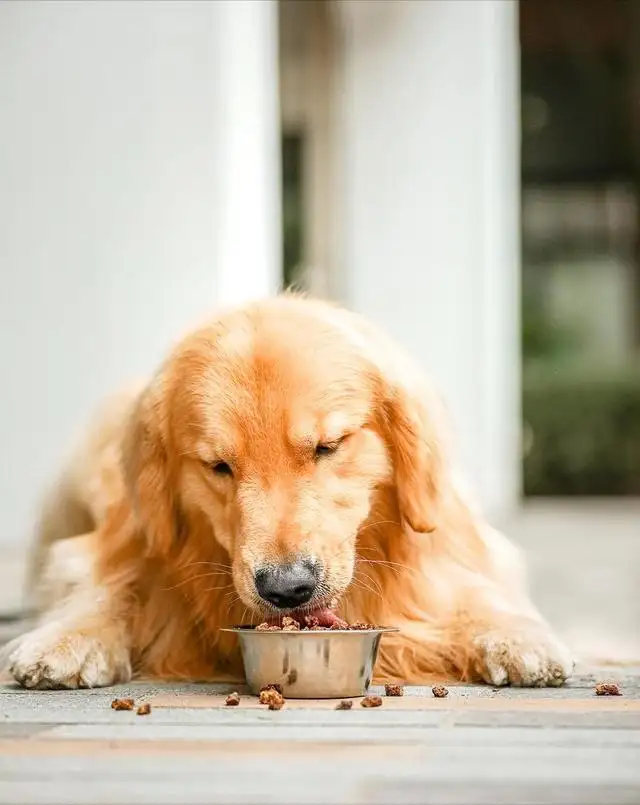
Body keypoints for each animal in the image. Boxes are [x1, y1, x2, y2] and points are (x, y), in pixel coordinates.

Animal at [5, 298, 572, 688]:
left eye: (328, 446)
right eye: (218, 466)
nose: (286, 589)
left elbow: (478, 592)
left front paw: (519, 635)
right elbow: (107, 589)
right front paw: (68, 638)